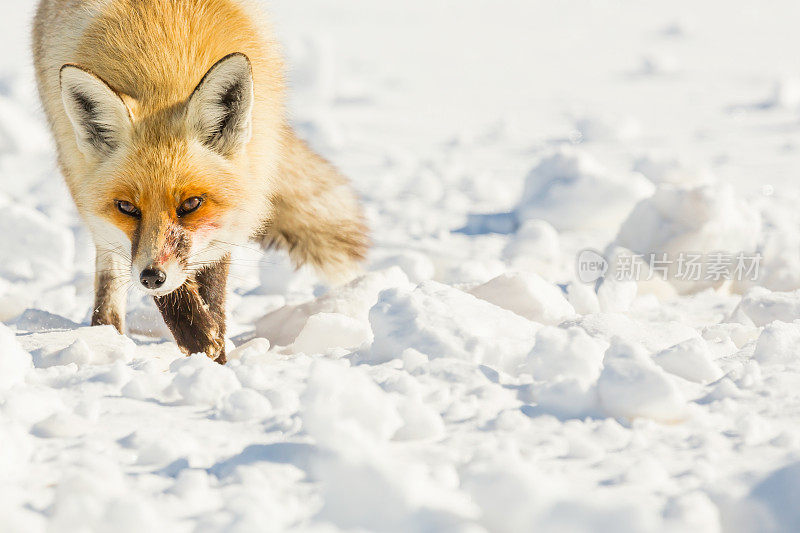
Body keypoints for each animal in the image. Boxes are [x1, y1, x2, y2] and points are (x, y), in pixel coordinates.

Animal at [30, 0, 368, 362]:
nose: (151, 278)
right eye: (127, 208)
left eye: (191, 204)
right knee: (110, 281)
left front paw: (215, 359)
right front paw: (200, 342)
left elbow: (213, 292)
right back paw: (107, 334)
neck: (162, 57)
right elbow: (172, 293)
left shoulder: (230, 218)